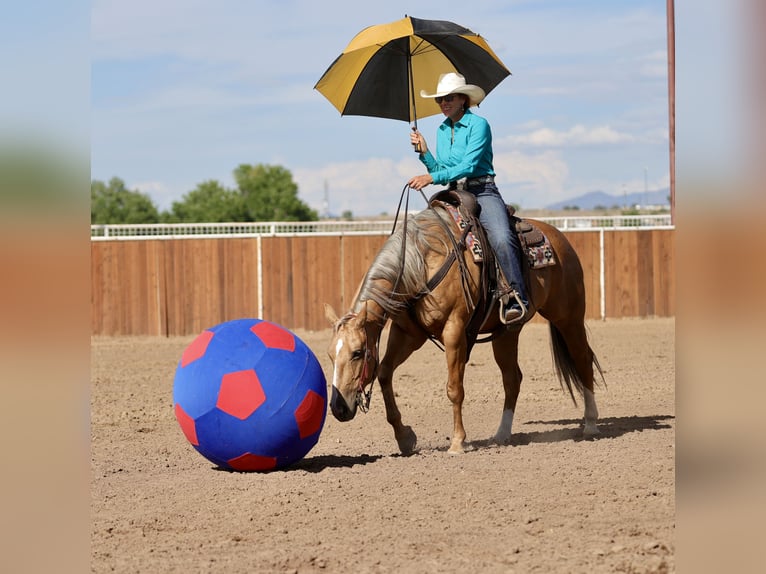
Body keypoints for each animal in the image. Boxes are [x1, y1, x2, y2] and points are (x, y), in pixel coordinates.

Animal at [324, 193, 604, 455]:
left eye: (357, 352)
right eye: (330, 356)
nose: (338, 408)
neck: (422, 263)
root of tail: (559, 238)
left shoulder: (454, 330)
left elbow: (454, 388)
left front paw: (458, 442)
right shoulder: (408, 334)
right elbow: (383, 372)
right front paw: (404, 437)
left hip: (568, 317)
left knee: (582, 359)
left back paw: (590, 423)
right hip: (506, 333)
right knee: (512, 378)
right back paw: (502, 434)